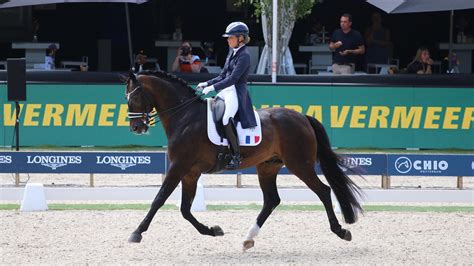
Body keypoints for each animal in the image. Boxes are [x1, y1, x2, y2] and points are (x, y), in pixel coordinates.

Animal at [124, 70, 362, 249]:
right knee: (272, 200)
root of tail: (302, 117)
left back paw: (341, 231)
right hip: (267, 167)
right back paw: (248, 238)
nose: (136, 127)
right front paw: (213, 230)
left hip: (300, 165)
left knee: (323, 191)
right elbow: (184, 209)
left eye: (134, 98)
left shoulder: (178, 167)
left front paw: (137, 232)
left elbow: (159, 199)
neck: (185, 117)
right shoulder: (190, 172)